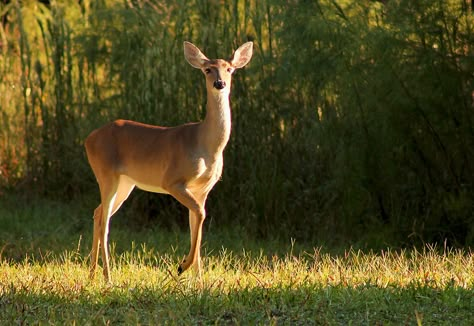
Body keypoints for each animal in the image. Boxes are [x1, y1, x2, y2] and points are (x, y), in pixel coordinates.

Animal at [84, 41, 252, 282]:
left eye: (229, 69)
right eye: (207, 69)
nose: (219, 83)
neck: (205, 144)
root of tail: (89, 139)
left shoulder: (203, 188)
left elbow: (196, 223)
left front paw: (198, 280)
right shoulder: (172, 181)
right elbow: (201, 214)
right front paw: (182, 266)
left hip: (126, 182)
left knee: (98, 213)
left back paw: (92, 275)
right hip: (106, 174)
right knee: (104, 220)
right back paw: (108, 277)